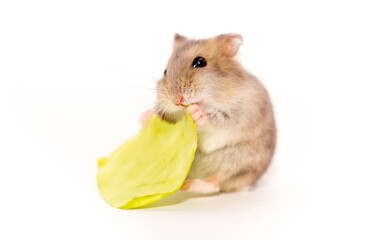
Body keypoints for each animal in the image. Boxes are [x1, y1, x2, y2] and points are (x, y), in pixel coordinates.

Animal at [141, 33, 278, 193]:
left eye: (200, 62)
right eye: (165, 71)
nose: (176, 100)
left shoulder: (236, 117)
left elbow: (212, 123)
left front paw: (195, 112)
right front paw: (145, 116)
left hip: (237, 163)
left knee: (215, 183)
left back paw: (188, 185)